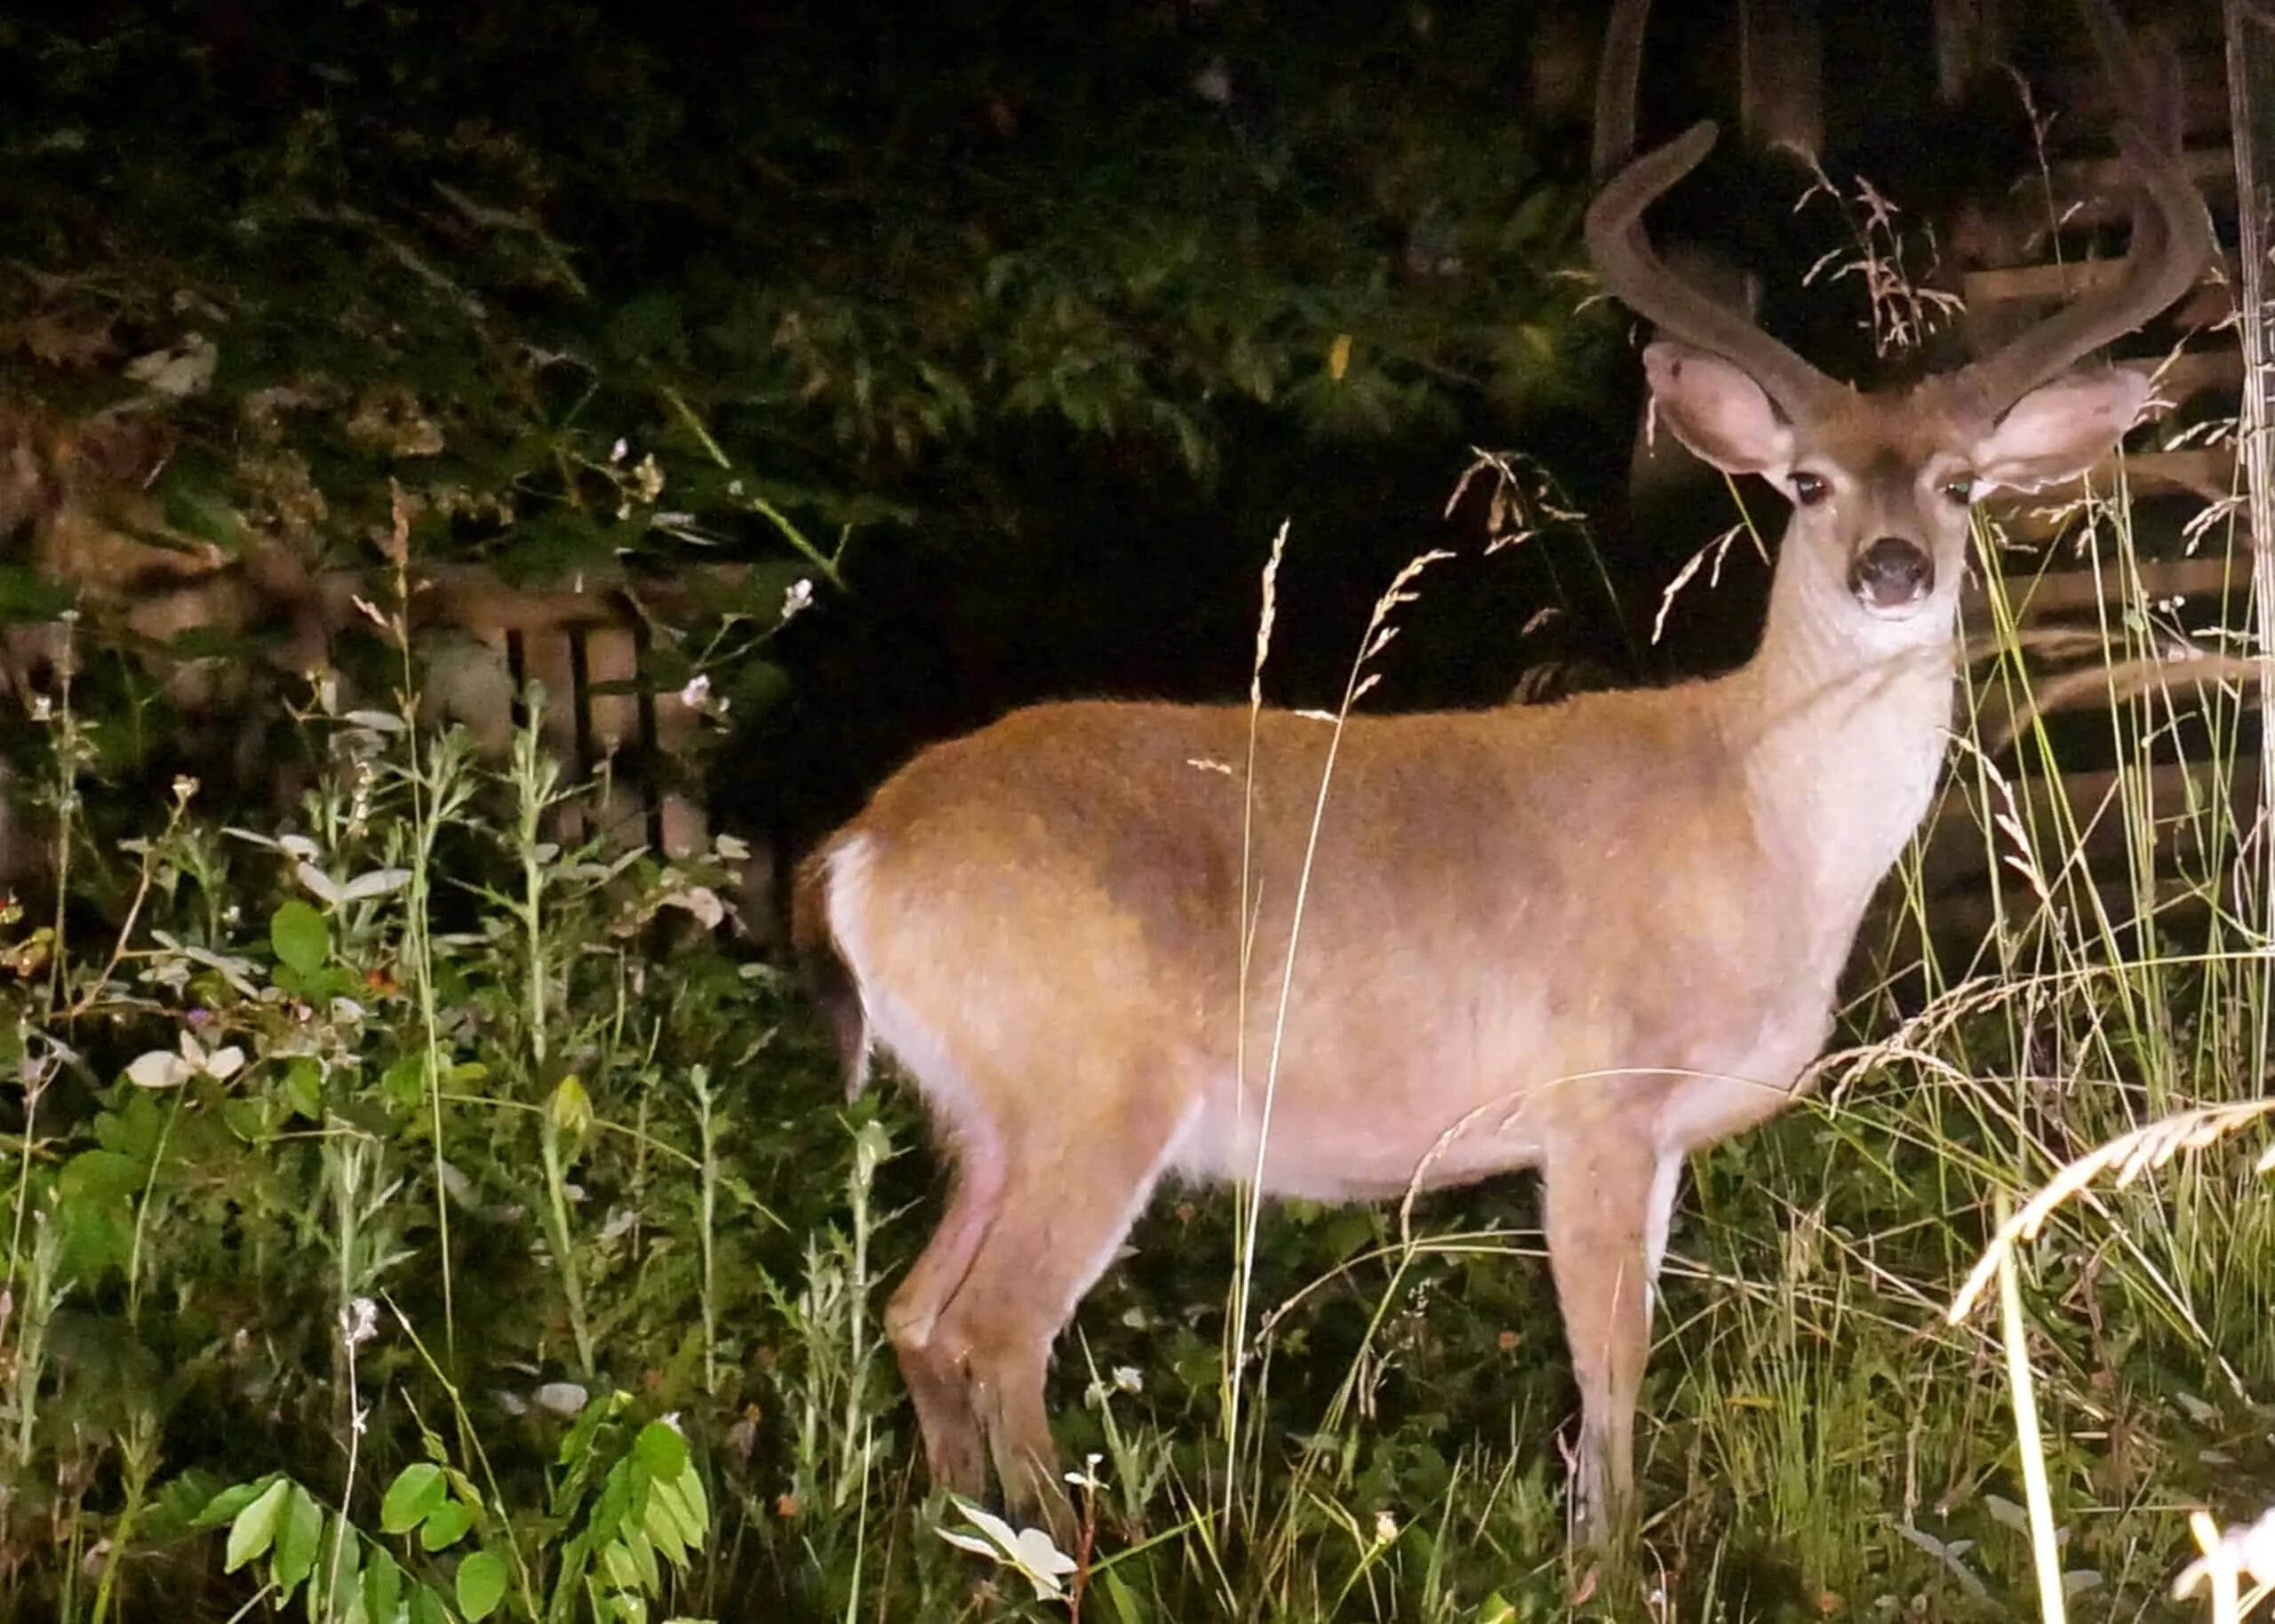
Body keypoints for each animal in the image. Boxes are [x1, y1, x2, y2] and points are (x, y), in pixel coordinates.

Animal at [791, 0, 2211, 1546]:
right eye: (1810, 483)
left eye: (1958, 481)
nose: (1891, 567)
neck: (1763, 826)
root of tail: (859, 851)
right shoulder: (1594, 1100)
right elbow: (1610, 1370)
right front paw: (1606, 1569)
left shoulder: (1655, 1140)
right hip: (1088, 1090)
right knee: (994, 1330)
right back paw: (1081, 1557)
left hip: (984, 1112)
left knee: (914, 1314)